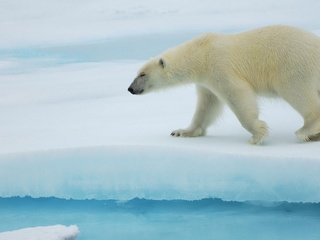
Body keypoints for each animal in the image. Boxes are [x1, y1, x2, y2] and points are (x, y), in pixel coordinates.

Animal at [127, 25, 320, 143]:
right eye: (137, 73)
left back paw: (306, 131)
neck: (201, 53)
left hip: (294, 65)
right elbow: (207, 106)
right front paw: (182, 131)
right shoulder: (205, 81)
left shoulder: (219, 66)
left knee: (297, 92)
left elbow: (237, 94)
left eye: (142, 74)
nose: (130, 89)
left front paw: (257, 134)